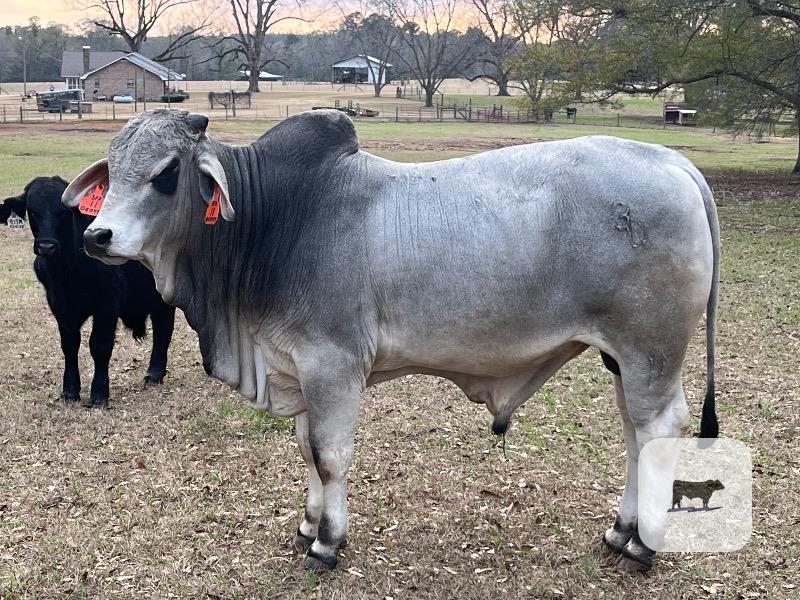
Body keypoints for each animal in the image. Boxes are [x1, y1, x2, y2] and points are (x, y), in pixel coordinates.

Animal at [1, 176, 176, 407]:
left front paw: (99, 393)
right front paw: (70, 391)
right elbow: (69, 345)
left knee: (164, 327)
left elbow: (100, 345)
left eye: (64, 210)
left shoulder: (107, 305)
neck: (68, 271)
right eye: (32, 209)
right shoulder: (60, 306)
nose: (46, 246)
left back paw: (154, 373)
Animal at [62, 109, 720, 572]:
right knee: (636, 436)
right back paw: (621, 531)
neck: (276, 220)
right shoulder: (300, 367)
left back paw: (644, 546)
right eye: (112, 167)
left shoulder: (332, 364)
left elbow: (330, 455)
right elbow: (306, 451)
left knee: (659, 429)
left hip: (650, 352)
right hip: (622, 359)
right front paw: (308, 525)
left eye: (167, 173)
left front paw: (327, 543)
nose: (97, 236)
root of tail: (674, 163)